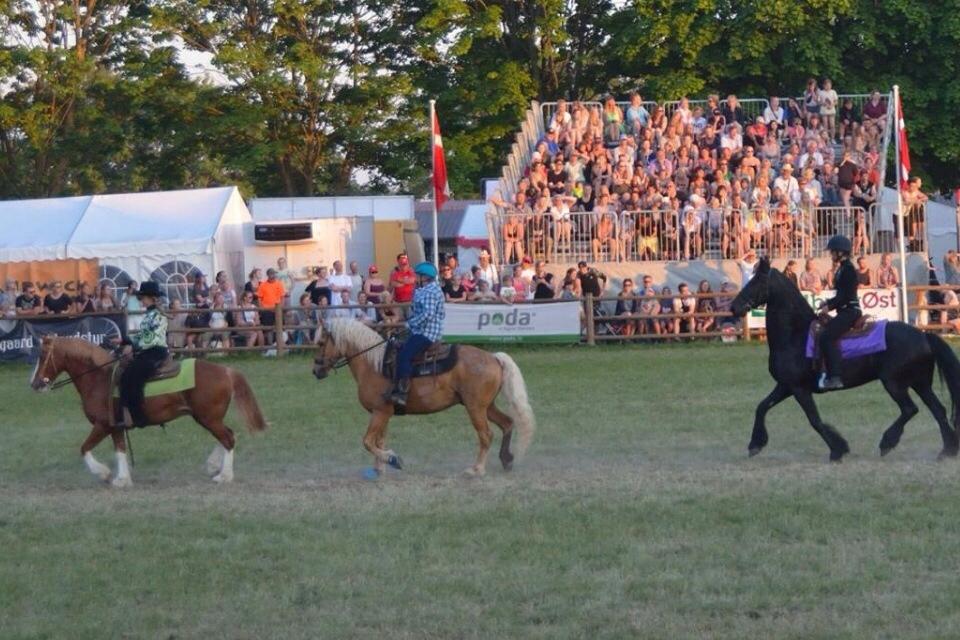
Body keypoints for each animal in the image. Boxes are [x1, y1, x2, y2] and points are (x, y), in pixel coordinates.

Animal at [30, 336, 268, 484]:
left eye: (42, 356)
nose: (34, 384)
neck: (99, 379)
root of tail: (226, 371)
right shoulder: (115, 427)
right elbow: (120, 450)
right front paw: (122, 479)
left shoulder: (102, 425)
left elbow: (84, 448)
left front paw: (105, 474)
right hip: (208, 418)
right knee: (228, 435)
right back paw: (213, 466)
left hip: (208, 418)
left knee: (228, 438)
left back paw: (224, 476)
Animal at [316, 318, 536, 476]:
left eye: (320, 342)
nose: (316, 371)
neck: (374, 364)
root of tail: (494, 357)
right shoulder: (381, 413)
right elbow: (379, 440)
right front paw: (380, 468)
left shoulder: (380, 411)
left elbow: (368, 441)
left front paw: (393, 460)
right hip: (486, 406)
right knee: (507, 423)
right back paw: (507, 460)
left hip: (475, 408)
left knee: (486, 435)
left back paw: (477, 469)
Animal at [728, 258, 960, 462]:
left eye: (757, 281)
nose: (733, 307)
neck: (796, 334)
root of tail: (923, 335)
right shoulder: (786, 386)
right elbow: (762, 407)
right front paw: (755, 444)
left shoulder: (799, 389)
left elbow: (814, 420)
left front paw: (838, 450)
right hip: (920, 382)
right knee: (938, 410)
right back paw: (946, 450)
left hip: (894, 382)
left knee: (910, 409)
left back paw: (888, 442)